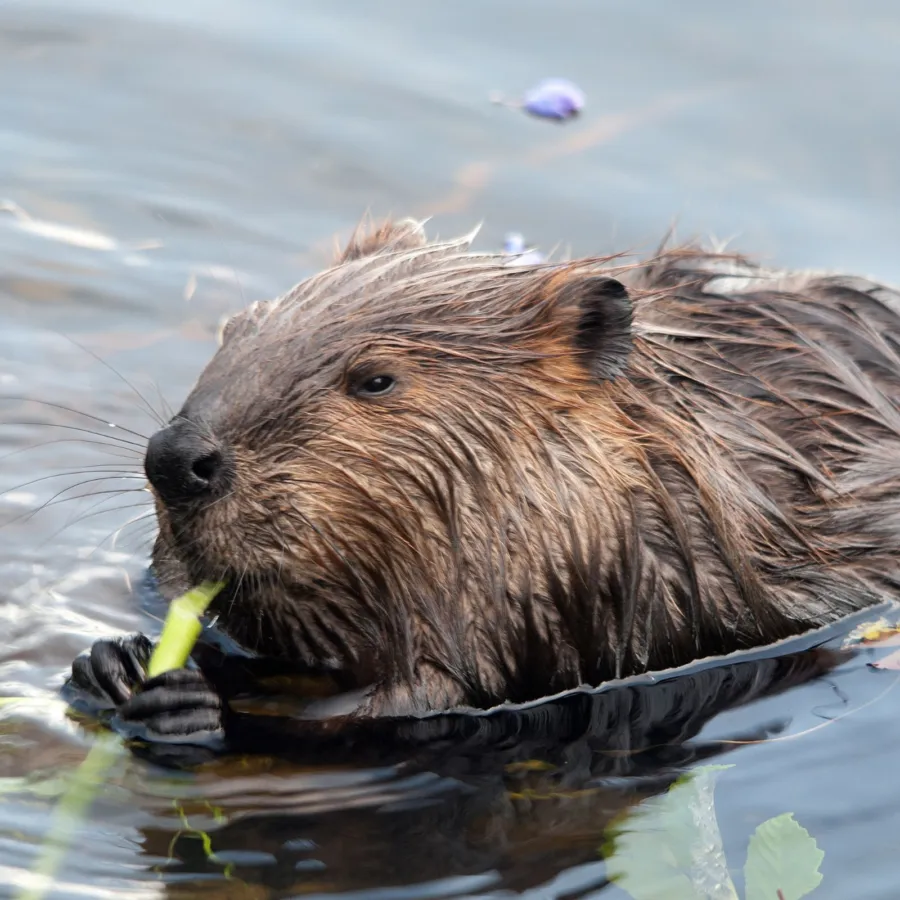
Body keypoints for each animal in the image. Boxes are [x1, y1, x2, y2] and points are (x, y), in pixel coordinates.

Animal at [63, 216, 900, 744]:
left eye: (376, 379)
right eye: (237, 328)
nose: (176, 460)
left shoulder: (607, 590)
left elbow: (412, 702)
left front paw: (187, 701)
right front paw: (111, 662)